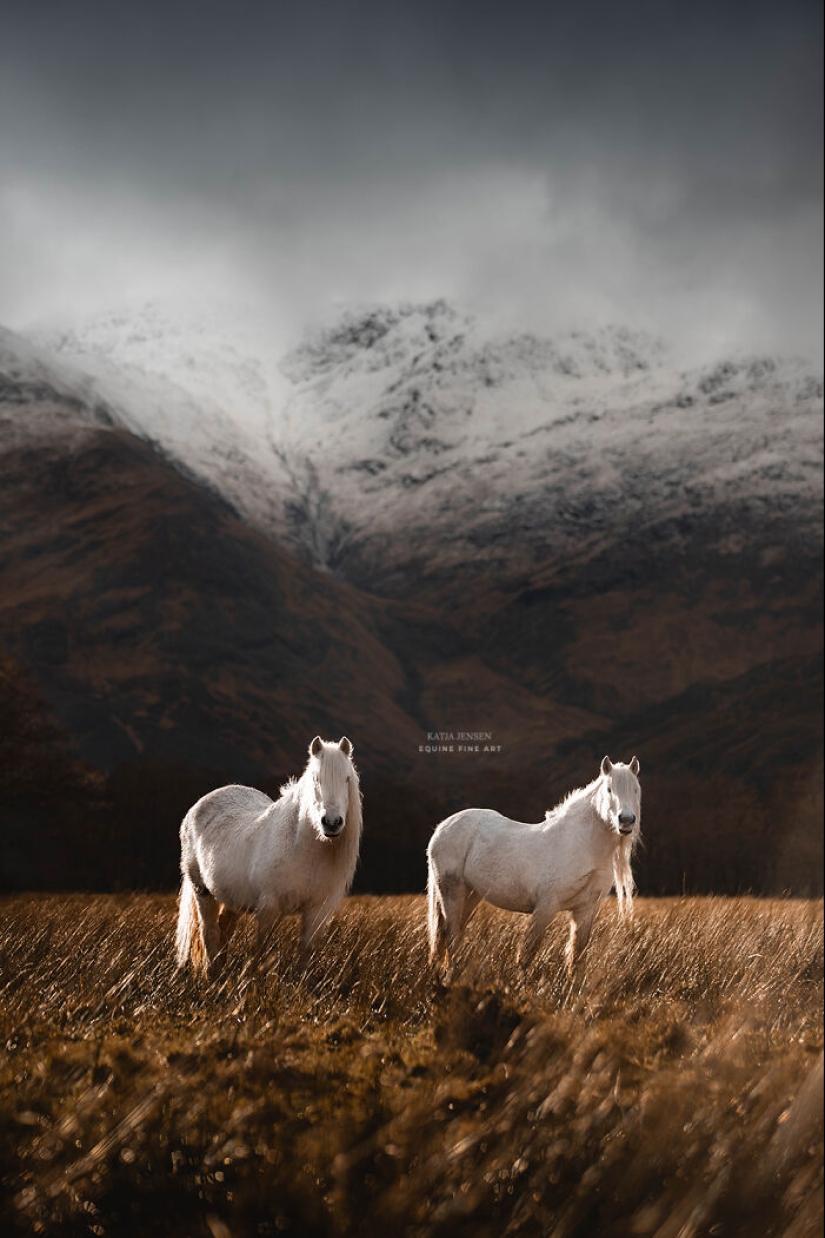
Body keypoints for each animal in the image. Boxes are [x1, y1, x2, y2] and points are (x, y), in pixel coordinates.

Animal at [175, 736, 362, 975]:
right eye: (316, 778)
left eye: (347, 778)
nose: (331, 823)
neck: (303, 849)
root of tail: (197, 807)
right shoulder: (269, 908)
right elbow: (262, 951)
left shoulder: (317, 911)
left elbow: (305, 954)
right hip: (203, 891)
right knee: (210, 932)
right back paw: (213, 974)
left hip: (231, 897)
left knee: (224, 929)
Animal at [426, 755, 641, 980]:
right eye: (609, 789)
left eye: (636, 789)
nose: (626, 821)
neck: (584, 845)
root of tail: (442, 827)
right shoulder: (546, 907)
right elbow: (528, 953)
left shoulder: (585, 910)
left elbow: (577, 954)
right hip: (452, 891)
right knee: (450, 934)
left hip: (471, 894)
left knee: (453, 933)